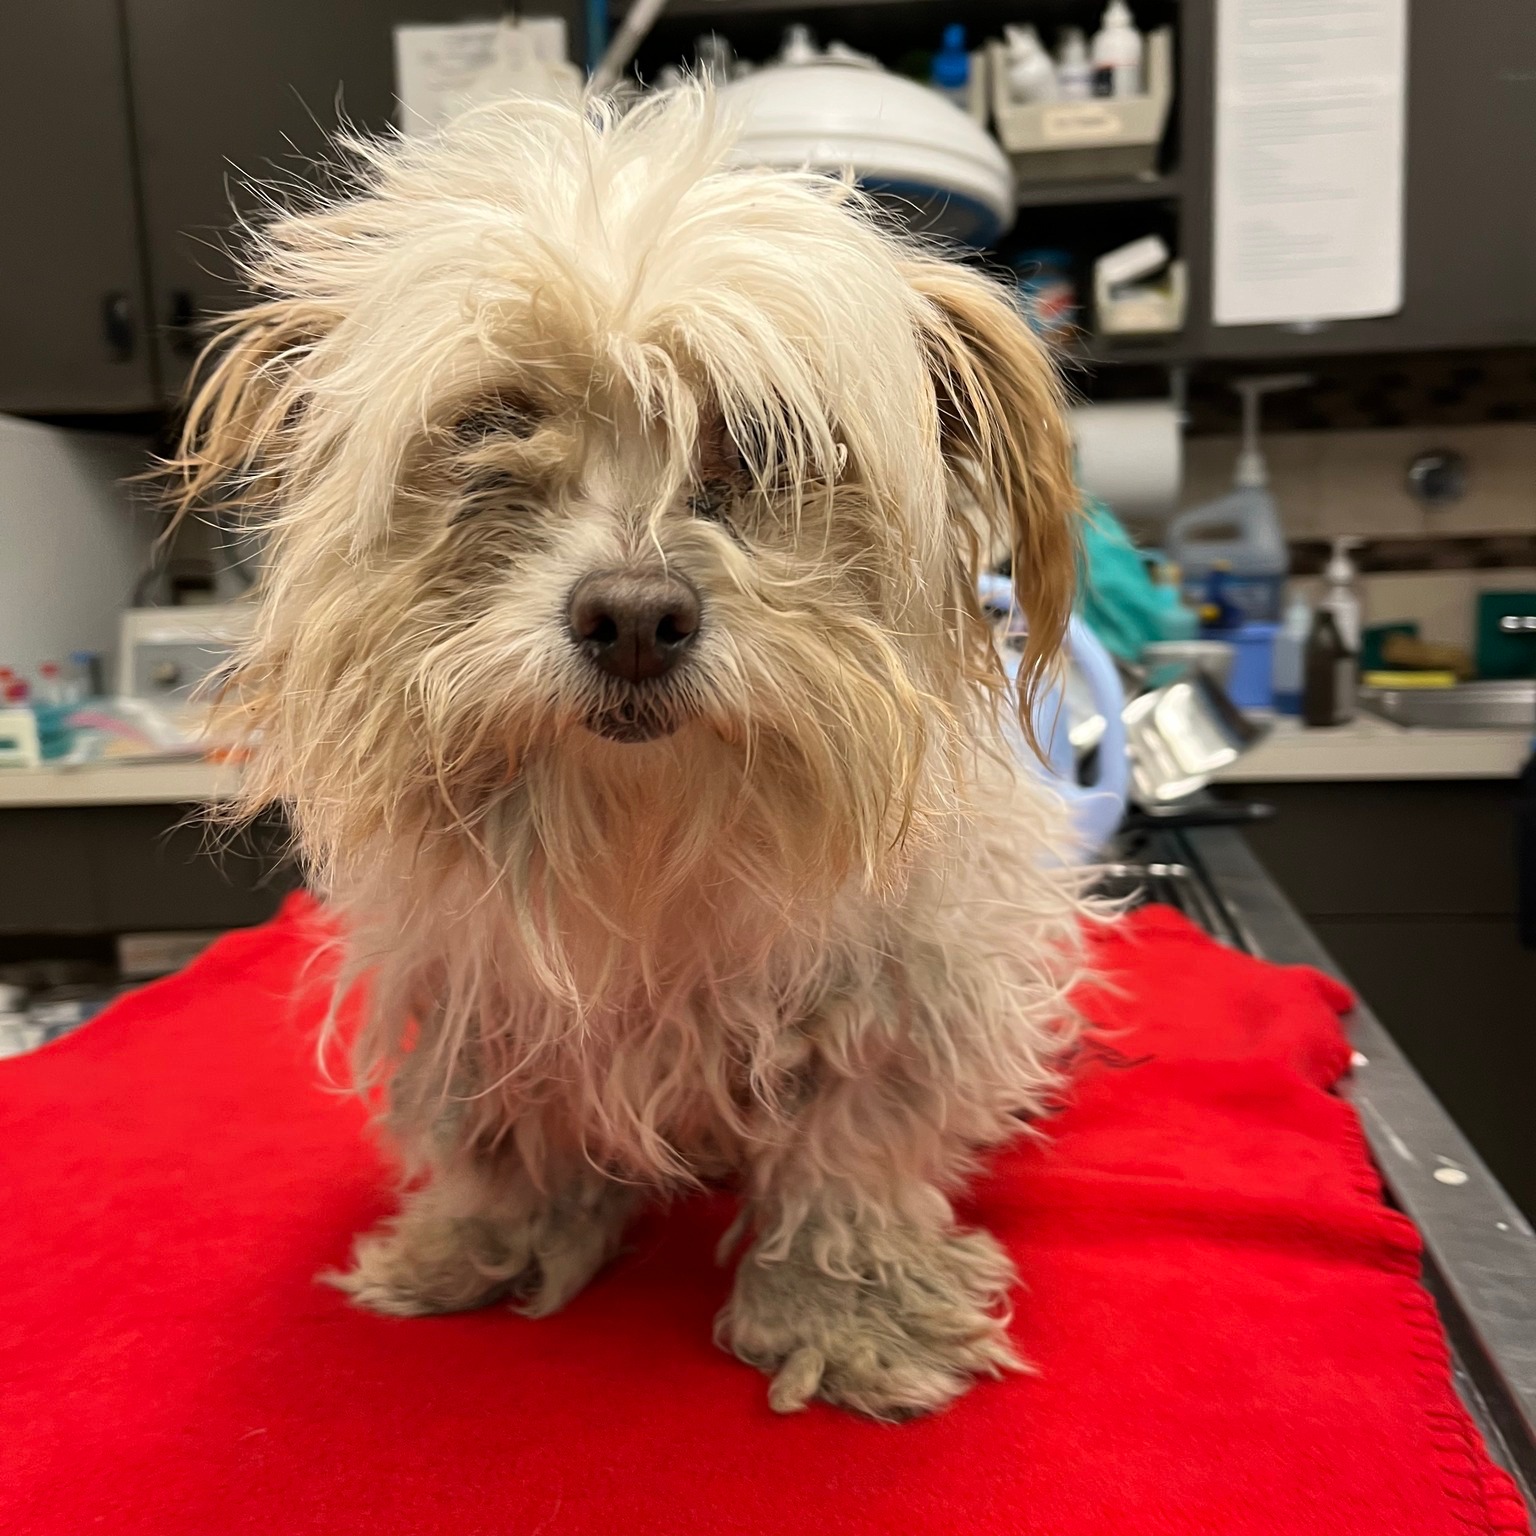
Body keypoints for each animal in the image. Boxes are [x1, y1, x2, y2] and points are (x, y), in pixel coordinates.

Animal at [174, 89, 1093, 1419]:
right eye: (492, 425)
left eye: (763, 441)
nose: (633, 618)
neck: (646, 837)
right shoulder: (470, 995)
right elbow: (498, 1136)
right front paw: (484, 1242)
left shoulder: (905, 991)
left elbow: (852, 1161)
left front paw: (847, 1314)